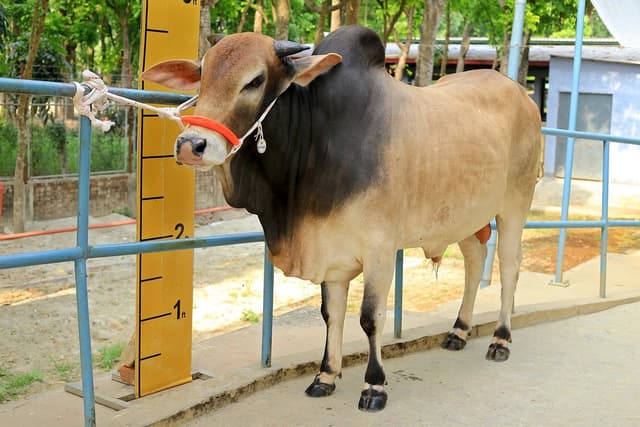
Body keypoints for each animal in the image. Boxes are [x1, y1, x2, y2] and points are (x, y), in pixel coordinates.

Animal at [141, 25, 541, 412]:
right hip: (465, 218)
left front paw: (374, 385)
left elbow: (369, 317)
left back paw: (500, 340)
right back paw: (459, 331)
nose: (191, 145)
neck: (319, 142)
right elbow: (331, 313)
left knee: (509, 267)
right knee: (475, 262)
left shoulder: (380, 250)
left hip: (514, 207)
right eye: (202, 74)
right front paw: (326, 376)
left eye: (255, 80)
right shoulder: (330, 251)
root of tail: (521, 95)